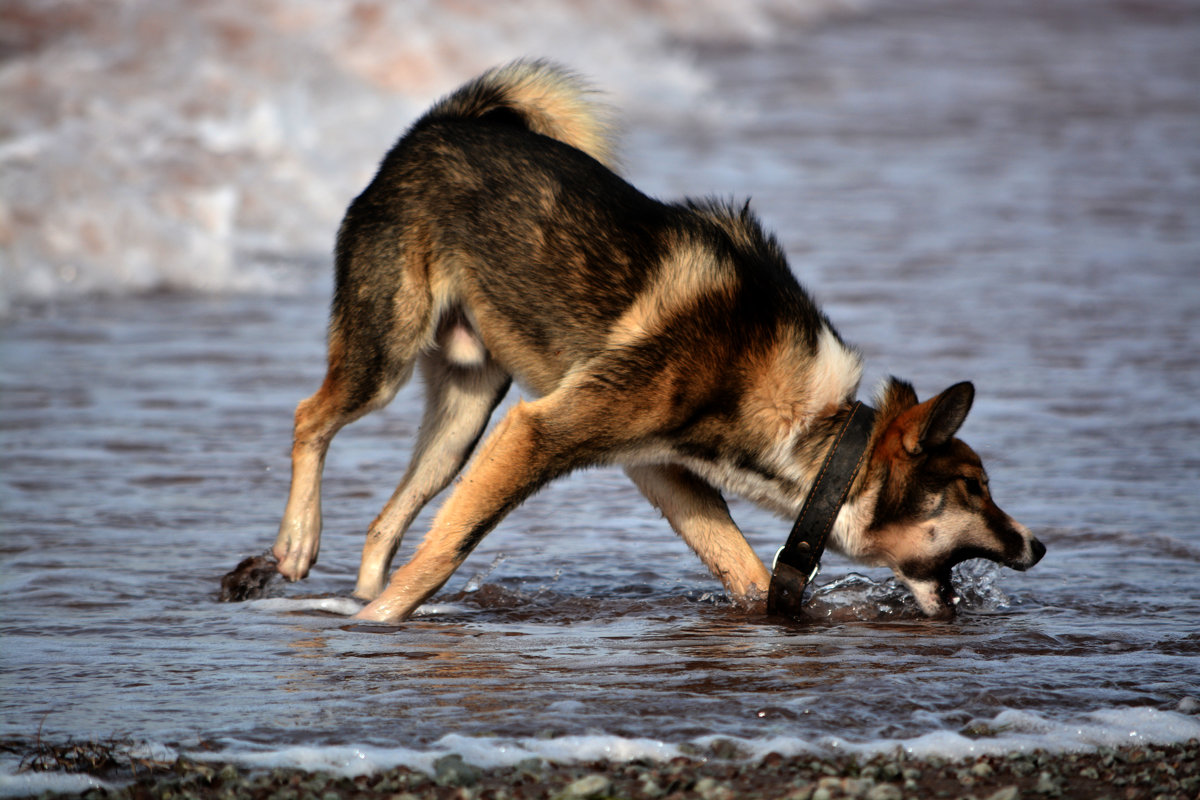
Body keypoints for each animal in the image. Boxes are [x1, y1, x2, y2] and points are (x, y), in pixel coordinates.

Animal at [270, 59, 1041, 623]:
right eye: (975, 490)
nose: (1039, 545)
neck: (812, 424)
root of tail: (437, 127)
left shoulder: (660, 467)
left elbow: (742, 566)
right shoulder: (539, 433)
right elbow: (447, 550)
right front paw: (377, 627)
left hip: (465, 414)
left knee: (386, 517)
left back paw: (359, 584)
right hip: (387, 357)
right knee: (311, 416)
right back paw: (302, 545)